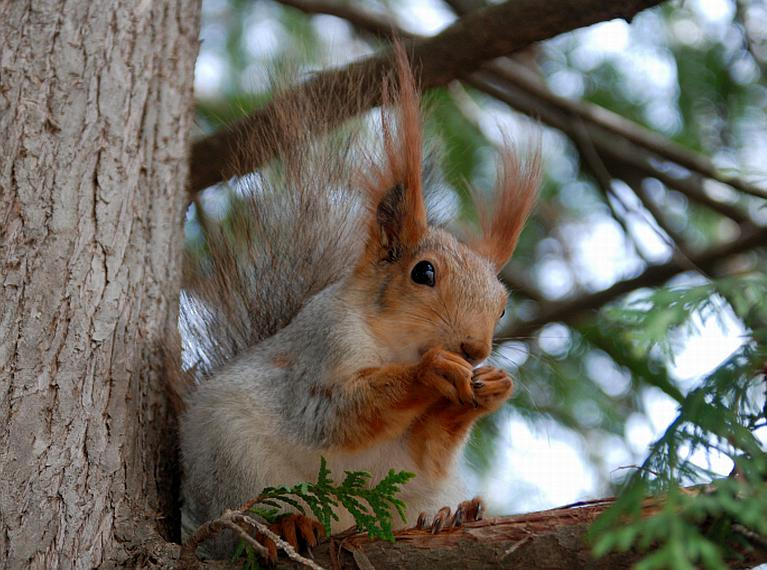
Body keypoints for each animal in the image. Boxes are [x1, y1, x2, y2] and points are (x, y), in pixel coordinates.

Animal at [176, 46, 540, 559]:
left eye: (503, 306)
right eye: (423, 272)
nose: (475, 350)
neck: (396, 345)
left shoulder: (415, 455)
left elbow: (425, 452)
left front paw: (491, 387)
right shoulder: (323, 347)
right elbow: (334, 415)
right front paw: (430, 371)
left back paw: (450, 515)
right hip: (233, 463)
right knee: (243, 524)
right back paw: (286, 525)